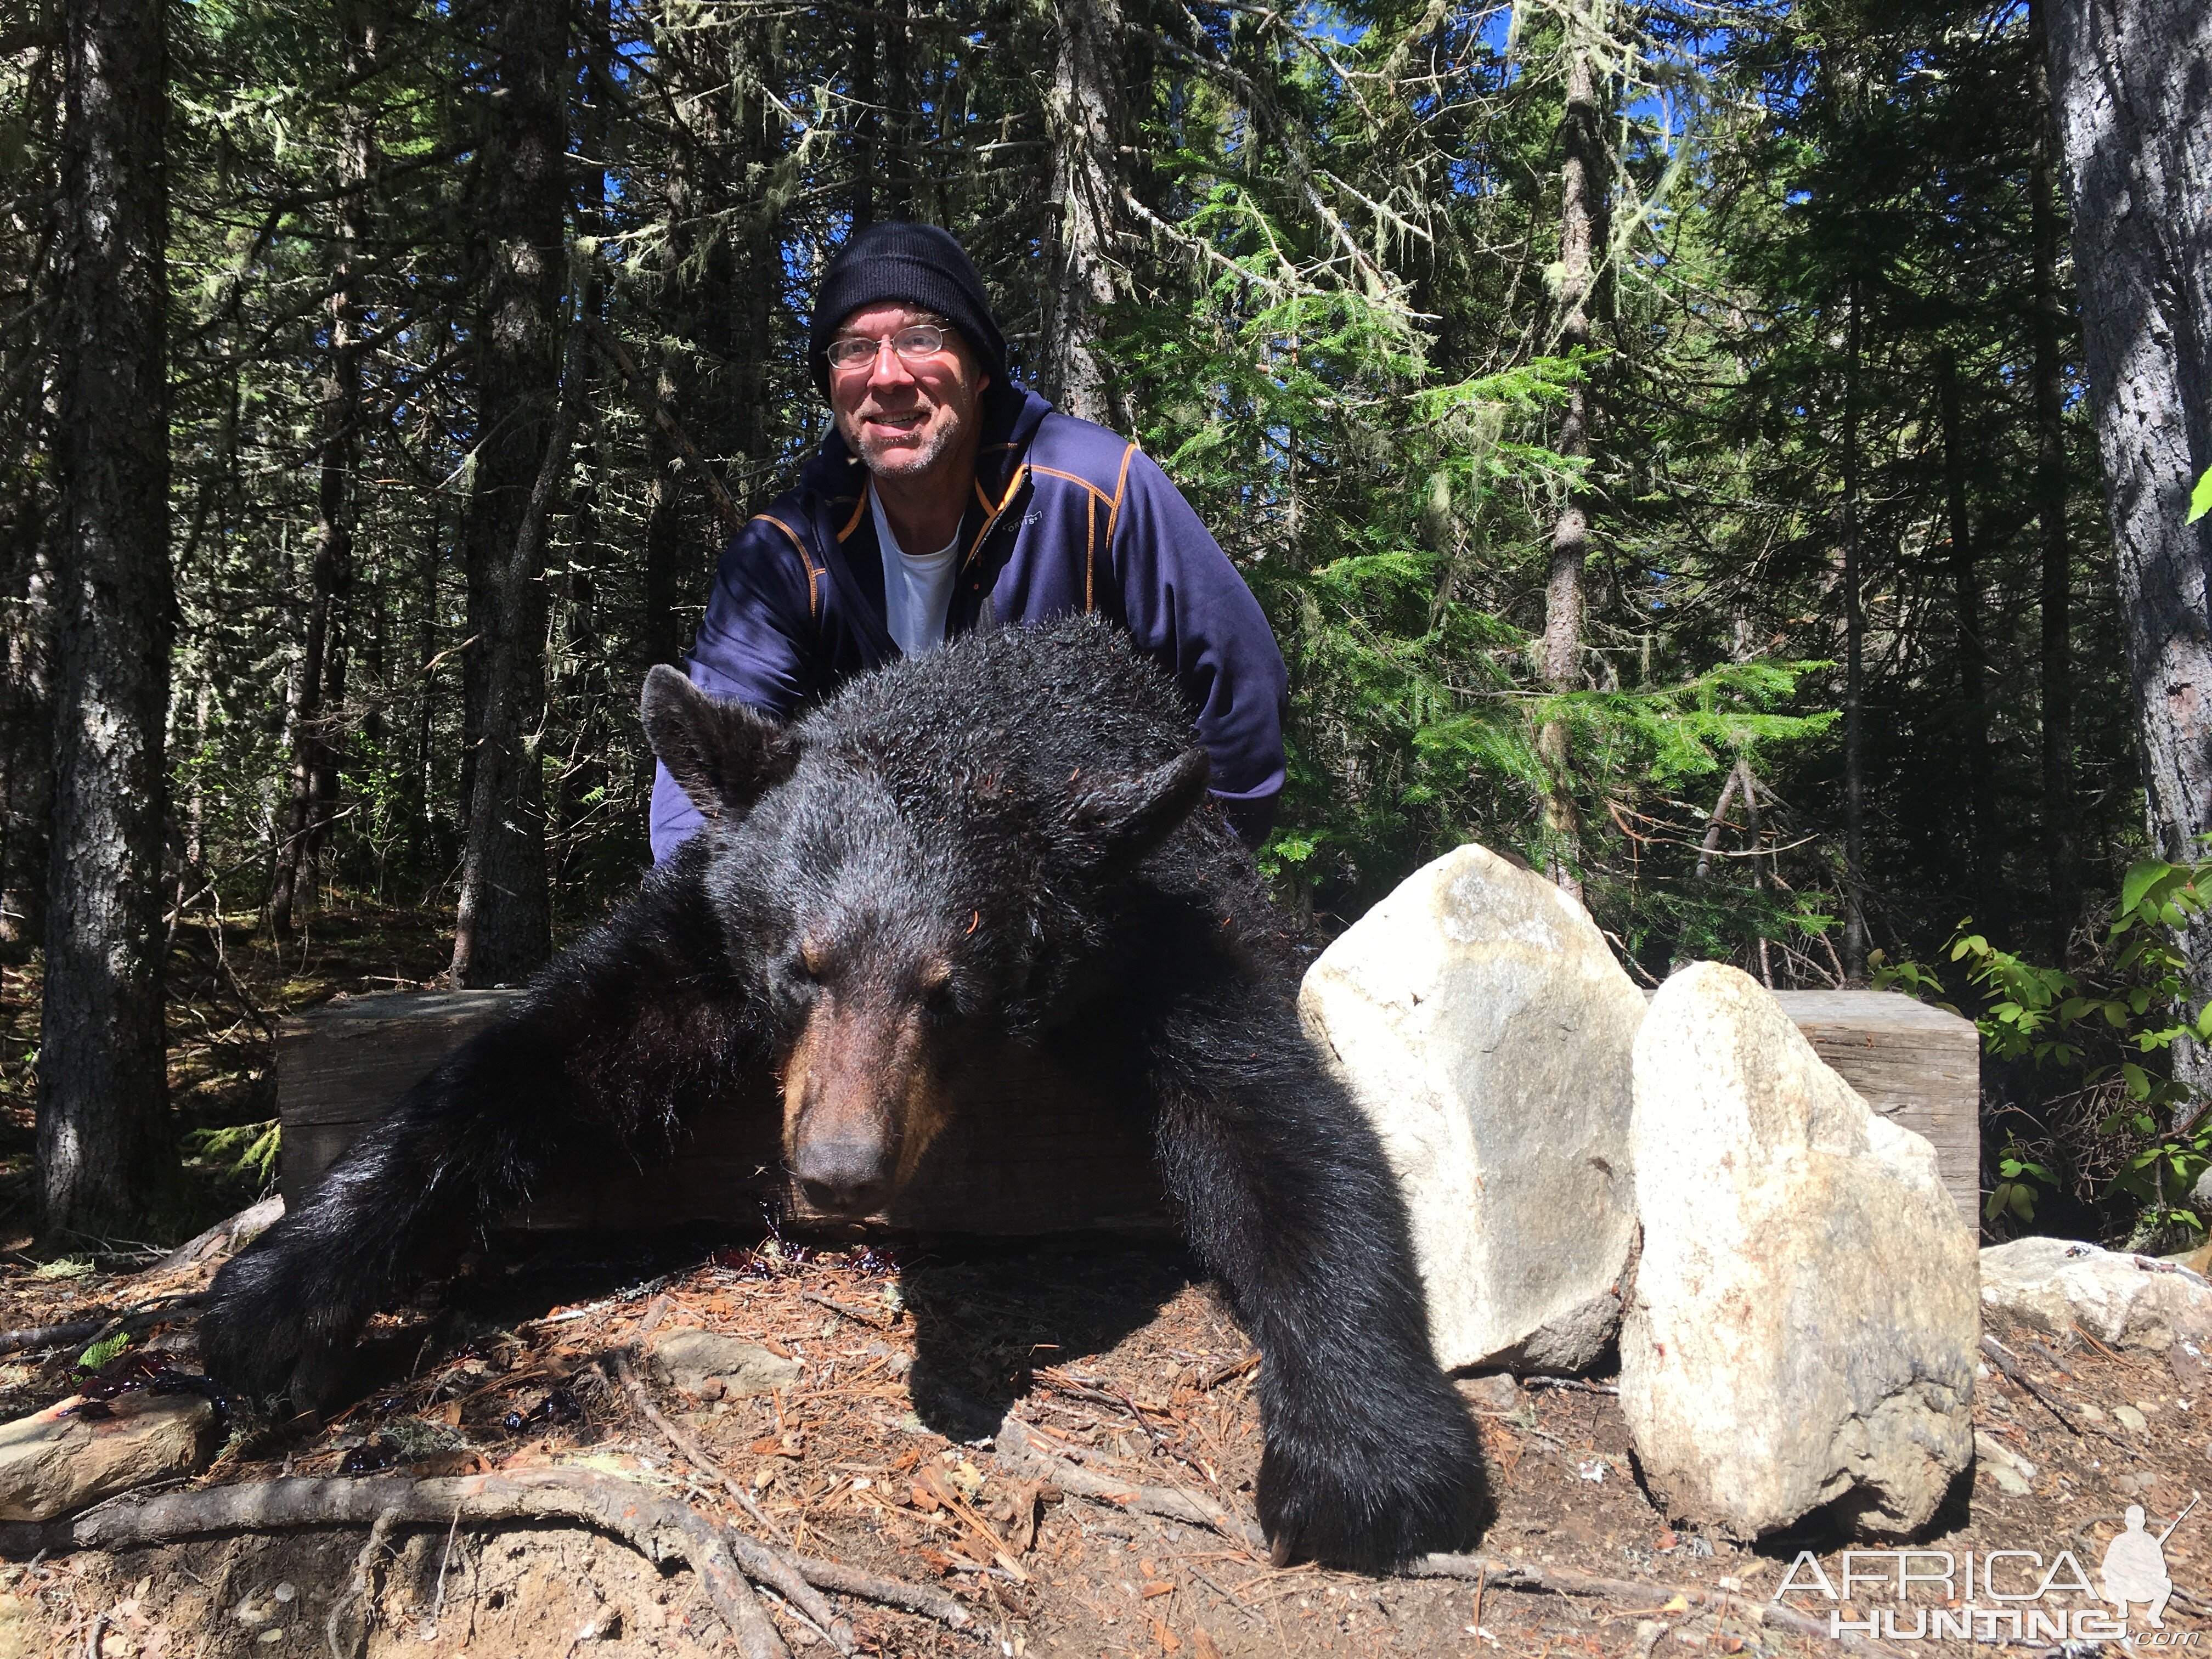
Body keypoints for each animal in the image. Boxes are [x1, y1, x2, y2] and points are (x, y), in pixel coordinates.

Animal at [203, 619, 1486, 1575]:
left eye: (950, 990)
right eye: (800, 965)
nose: (839, 1167)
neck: (984, 715)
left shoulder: (1161, 927)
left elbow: (1278, 1123)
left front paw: (1362, 1450)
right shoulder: (703, 928)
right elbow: (547, 1056)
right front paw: (272, 1299)